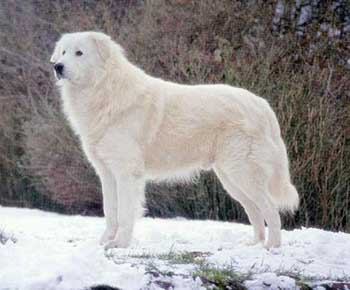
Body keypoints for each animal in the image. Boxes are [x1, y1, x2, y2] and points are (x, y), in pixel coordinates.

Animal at [50, 31, 300, 249]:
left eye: (79, 53)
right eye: (63, 52)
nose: (57, 67)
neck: (103, 90)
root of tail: (262, 105)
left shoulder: (126, 173)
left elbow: (124, 214)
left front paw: (119, 244)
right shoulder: (107, 173)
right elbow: (110, 212)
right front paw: (104, 242)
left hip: (242, 173)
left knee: (271, 210)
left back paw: (272, 247)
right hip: (231, 179)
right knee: (255, 211)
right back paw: (254, 244)